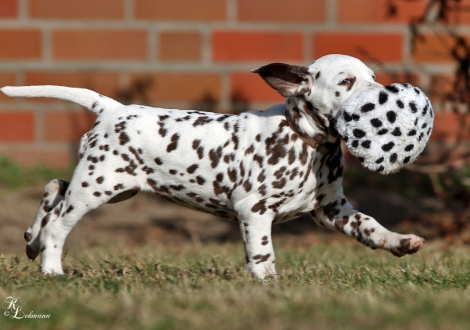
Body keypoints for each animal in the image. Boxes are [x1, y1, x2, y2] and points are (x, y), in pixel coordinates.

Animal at [0, 54, 426, 278]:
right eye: (346, 81)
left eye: (373, 77)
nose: (385, 97)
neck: (306, 142)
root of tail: (112, 109)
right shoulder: (254, 211)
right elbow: (263, 254)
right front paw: (268, 285)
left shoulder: (332, 209)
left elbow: (369, 225)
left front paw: (400, 241)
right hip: (98, 186)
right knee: (59, 223)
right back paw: (51, 267)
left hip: (116, 186)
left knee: (54, 188)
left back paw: (32, 239)